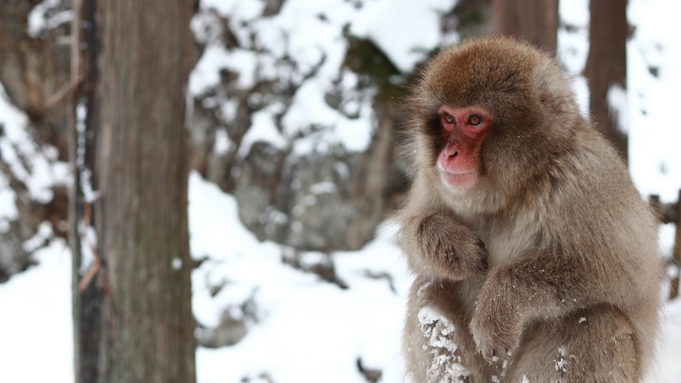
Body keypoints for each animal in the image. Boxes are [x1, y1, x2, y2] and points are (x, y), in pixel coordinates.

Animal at [396, 36, 660, 383]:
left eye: (475, 120)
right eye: (448, 119)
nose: (449, 154)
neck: (517, 185)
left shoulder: (585, 179)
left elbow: (626, 273)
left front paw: (501, 301)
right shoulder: (434, 179)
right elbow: (412, 233)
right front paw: (452, 244)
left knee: (594, 317)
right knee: (430, 285)